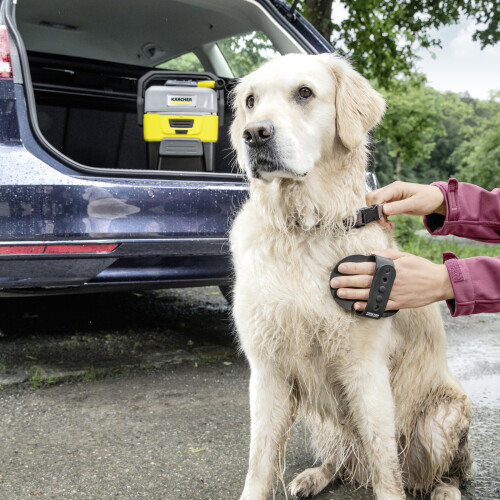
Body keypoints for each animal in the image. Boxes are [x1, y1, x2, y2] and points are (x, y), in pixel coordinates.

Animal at [229, 52, 474, 498]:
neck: (304, 228)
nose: (254, 134)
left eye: (304, 92)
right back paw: (313, 476)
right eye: (251, 101)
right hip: (324, 421)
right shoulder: (267, 367)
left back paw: (445, 490)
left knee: (444, 472)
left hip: (442, 418)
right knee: (343, 458)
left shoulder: (365, 367)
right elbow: (260, 459)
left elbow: (384, 461)